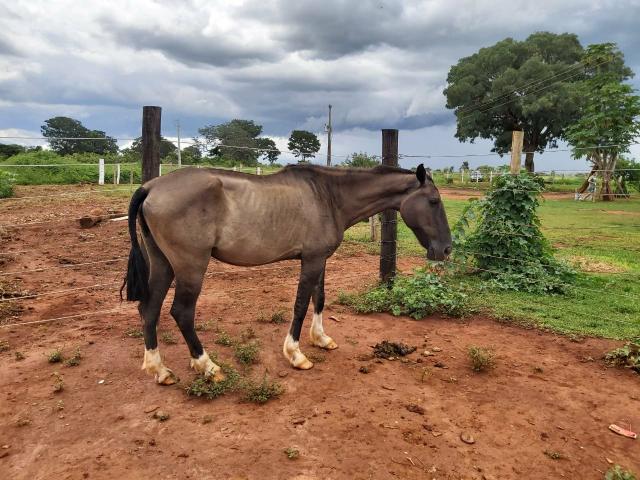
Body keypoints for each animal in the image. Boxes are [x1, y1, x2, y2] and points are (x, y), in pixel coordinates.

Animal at [120, 163, 450, 384]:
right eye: (434, 201)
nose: (446, 249)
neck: (329, 197)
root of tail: (150, 187)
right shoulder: (312, 261)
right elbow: (301, 304)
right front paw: (296, 354)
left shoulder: (319, 260)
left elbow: (320, 298)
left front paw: (321, 339)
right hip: (191, 267)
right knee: (181, 312)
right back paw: (207, 366)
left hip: (163, 264)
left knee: (149, 309)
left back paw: (159, 369)